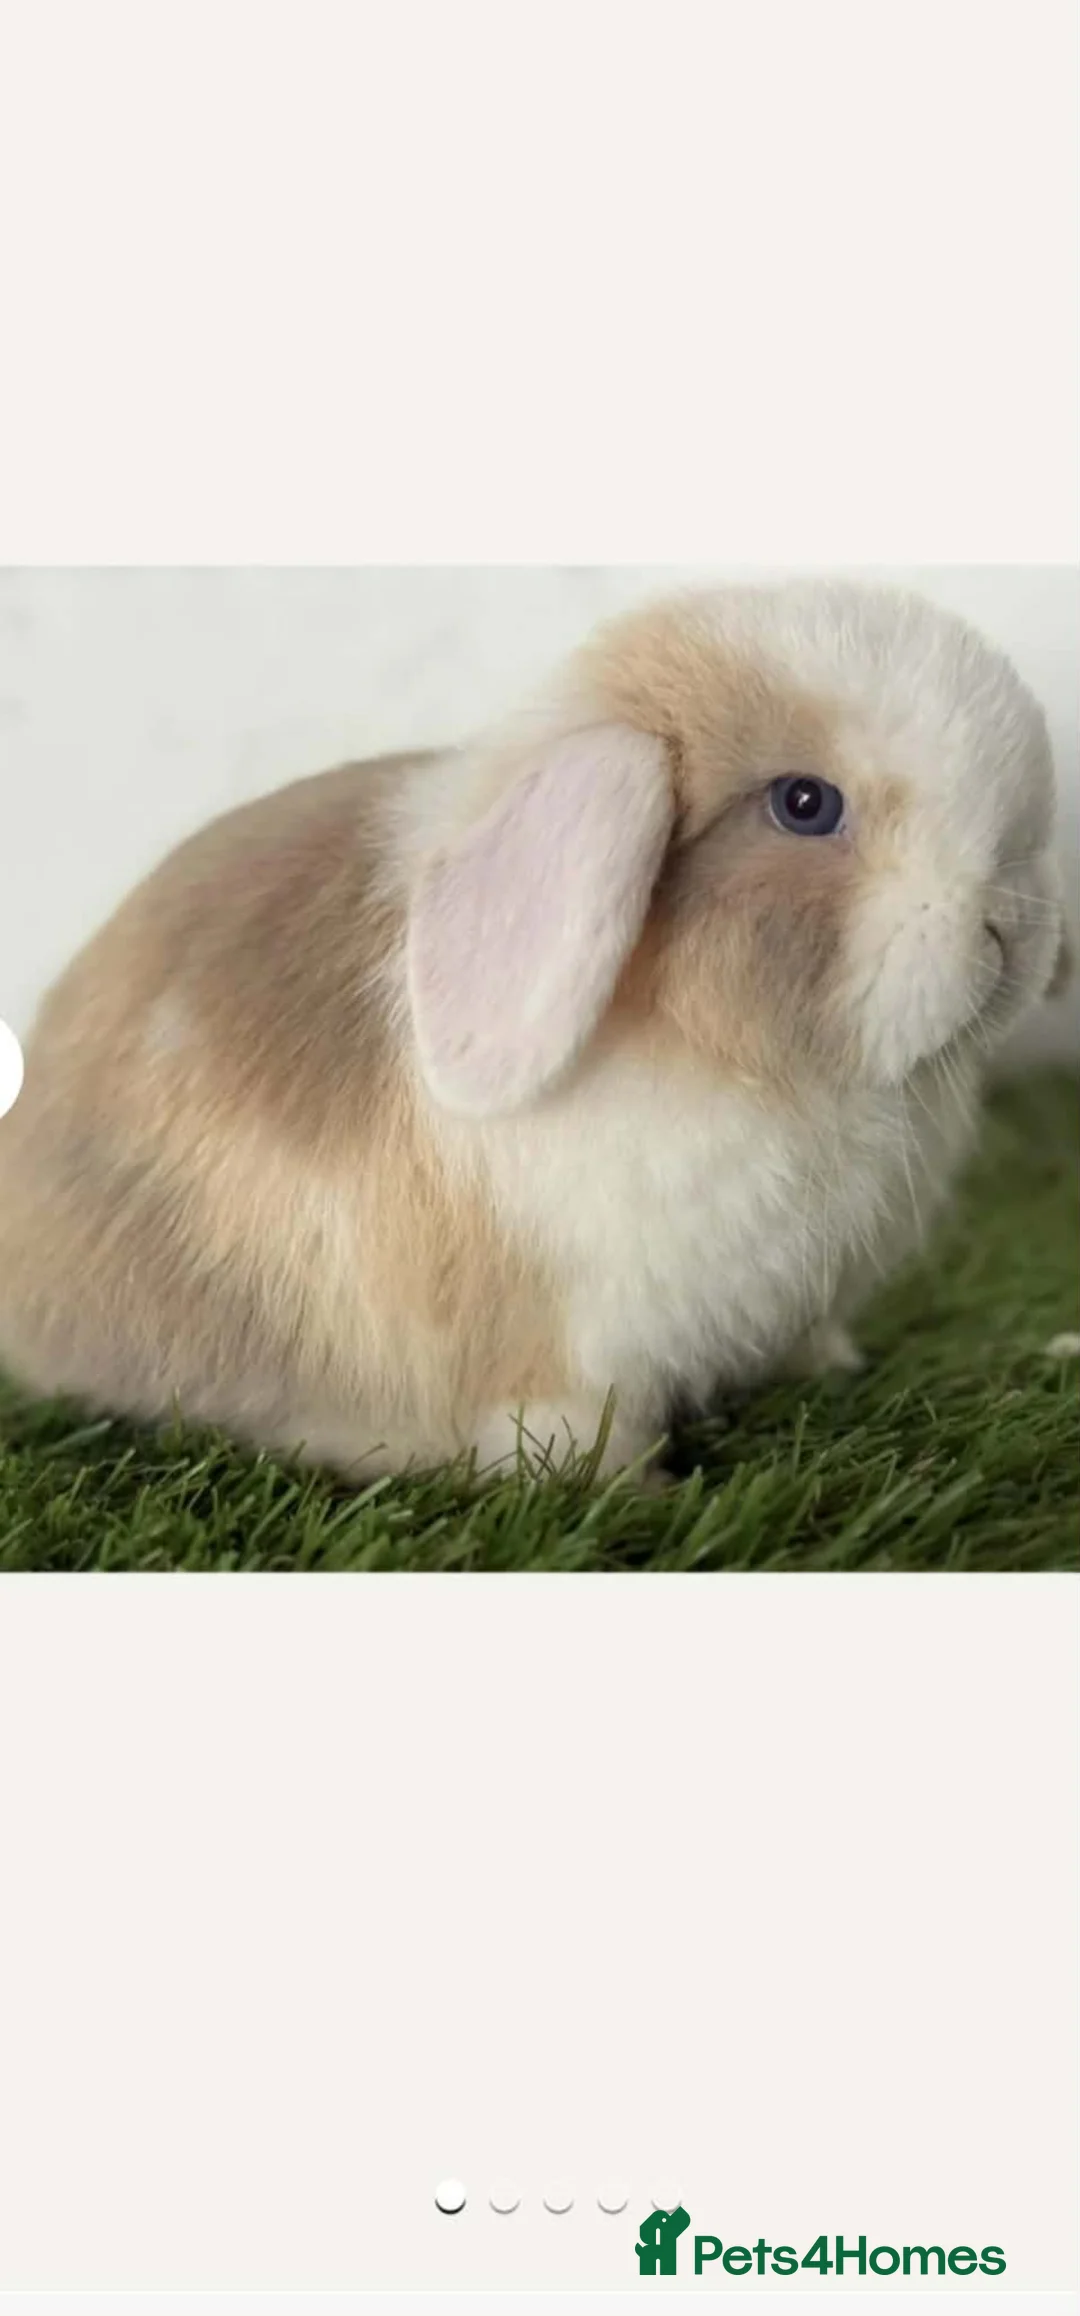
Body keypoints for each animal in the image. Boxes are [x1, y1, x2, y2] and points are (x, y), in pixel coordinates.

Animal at [0, 582, 1067, 1488]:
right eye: (804, 804)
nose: (1008, 931)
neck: (725, 1055)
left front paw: (829, 1366)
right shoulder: (569, 1346)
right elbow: (565, 1425)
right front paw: (628, 1487)